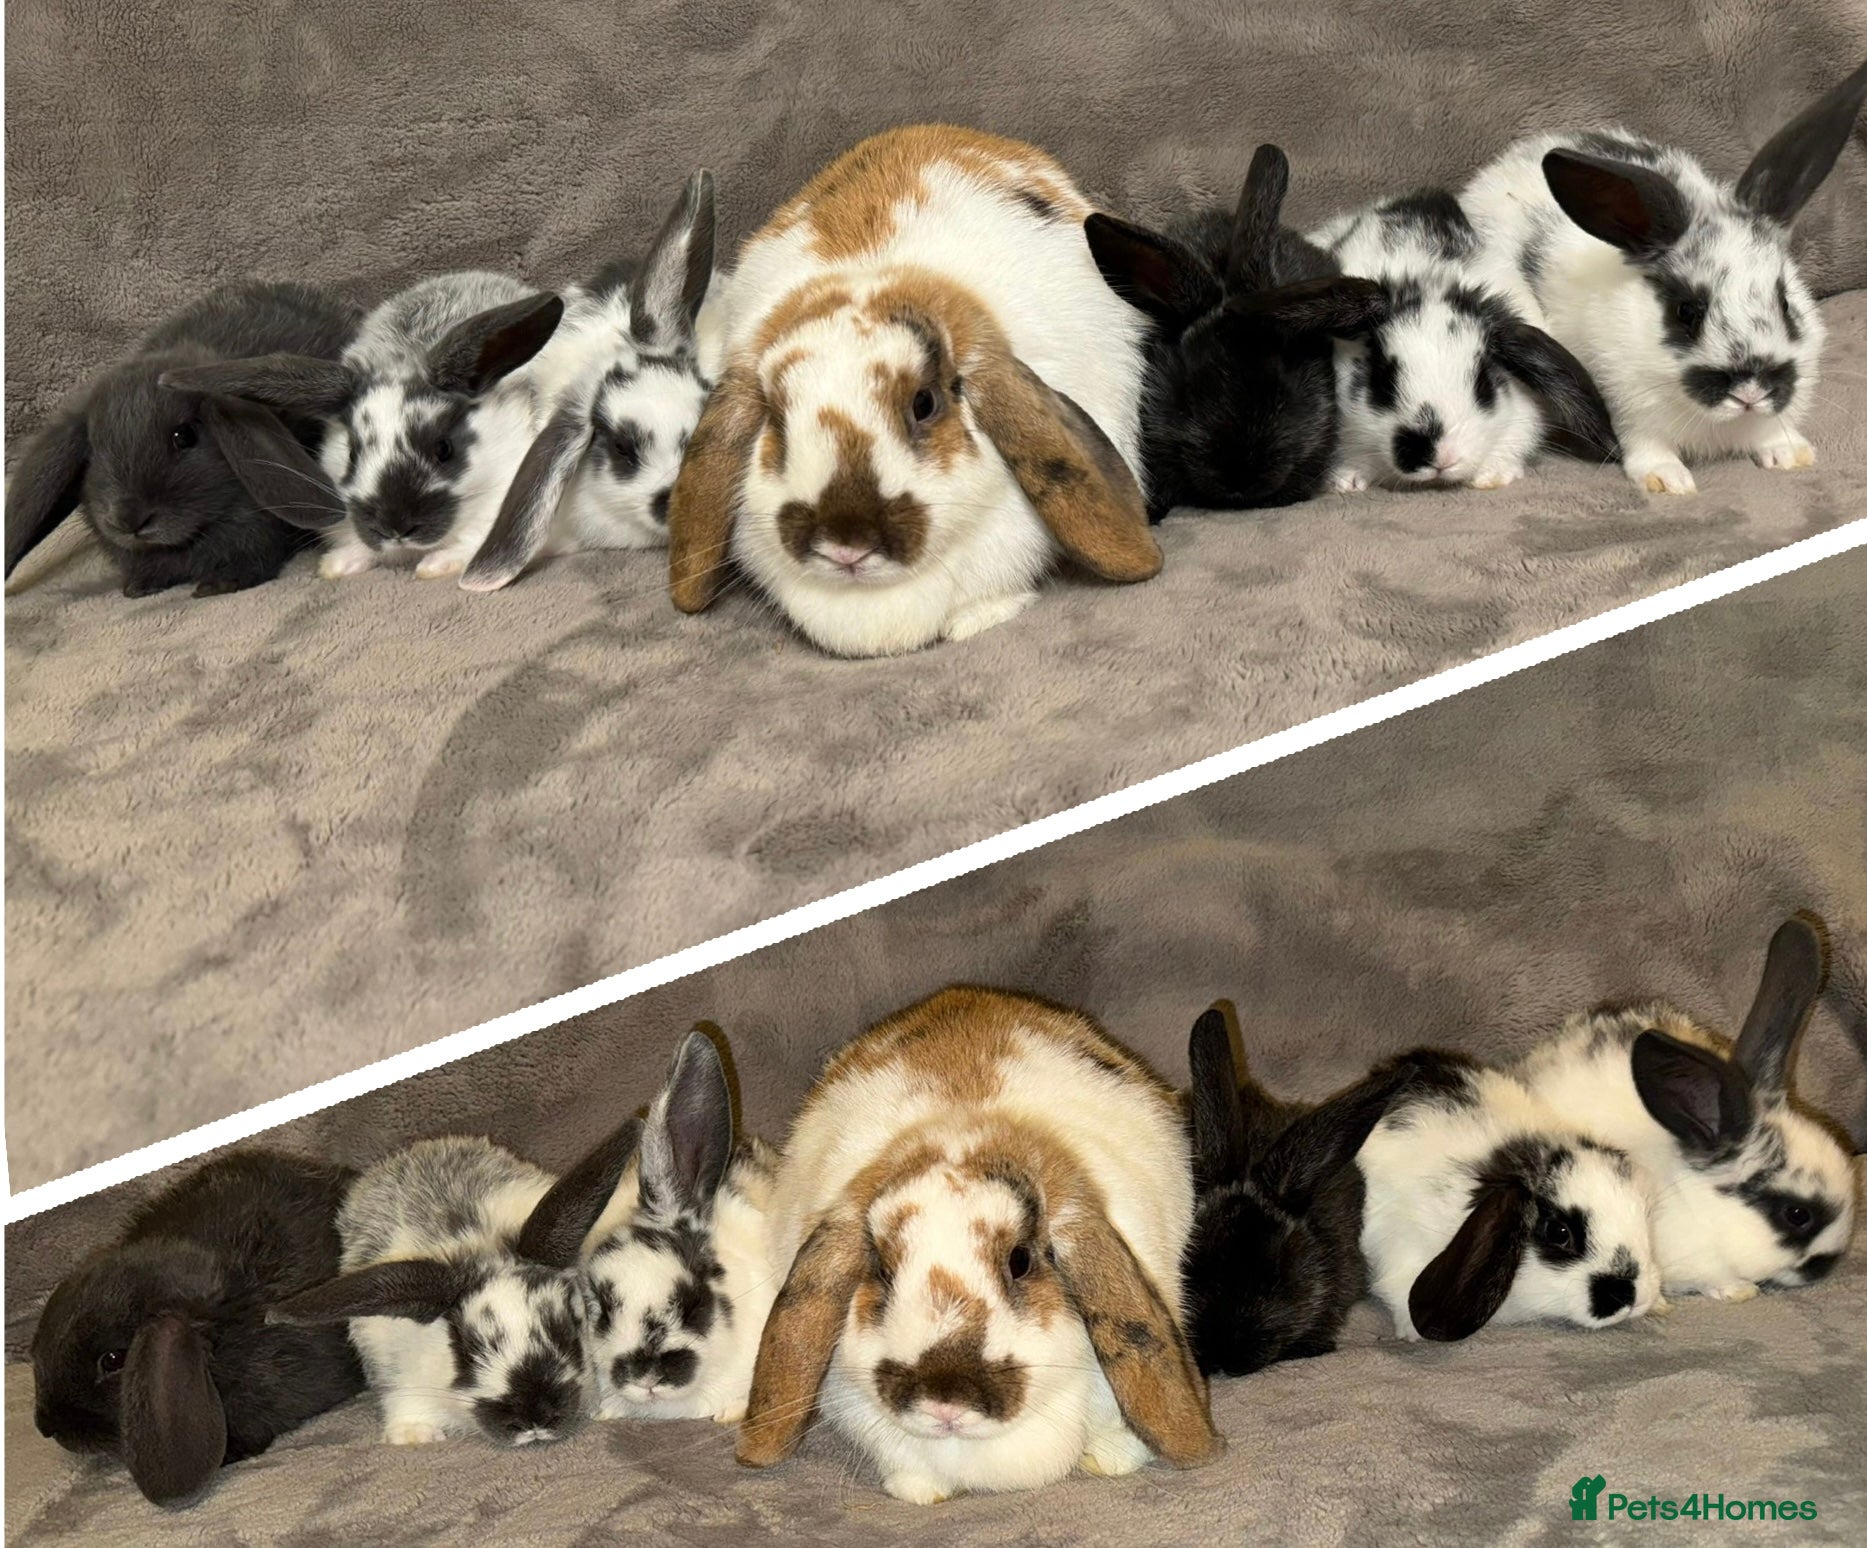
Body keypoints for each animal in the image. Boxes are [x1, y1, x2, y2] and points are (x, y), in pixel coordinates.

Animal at [163, 271, 567, 579]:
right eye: (352, 453)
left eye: (443, 449)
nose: (396, 528)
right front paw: (336, 566)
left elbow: (470, 545)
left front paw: (433, 567)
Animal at [1460, 59, 1867, 495]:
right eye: (1686, 312)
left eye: (1786, 302)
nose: (1750, 392)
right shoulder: (1624, 402)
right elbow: (1646, 444)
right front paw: (1668, 480)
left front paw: (1791, 454)